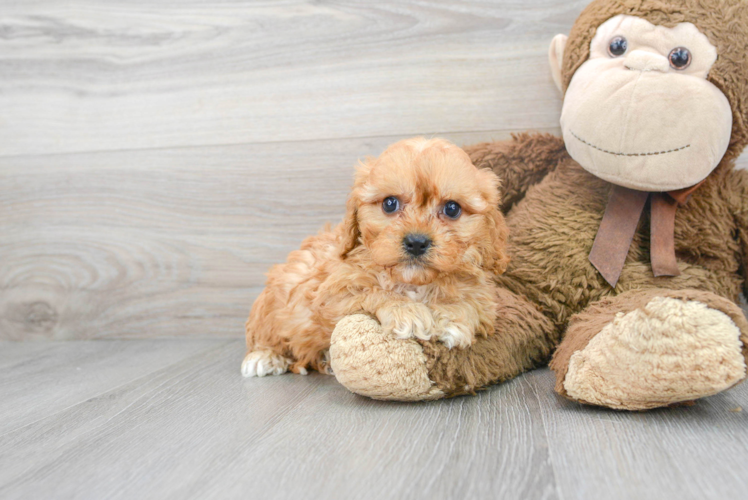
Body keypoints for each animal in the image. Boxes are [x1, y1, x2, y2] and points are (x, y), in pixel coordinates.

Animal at [241, 137, 508, 376]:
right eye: (390, 204)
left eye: (452, 208)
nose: (416, 242)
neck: (413, 282)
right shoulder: (332, 292)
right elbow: (373, 291)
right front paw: (406, 311)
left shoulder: (485, 301)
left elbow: (472, 303)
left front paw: (452, 317)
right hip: (271, 305)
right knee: (266, 336)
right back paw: (264, 357)